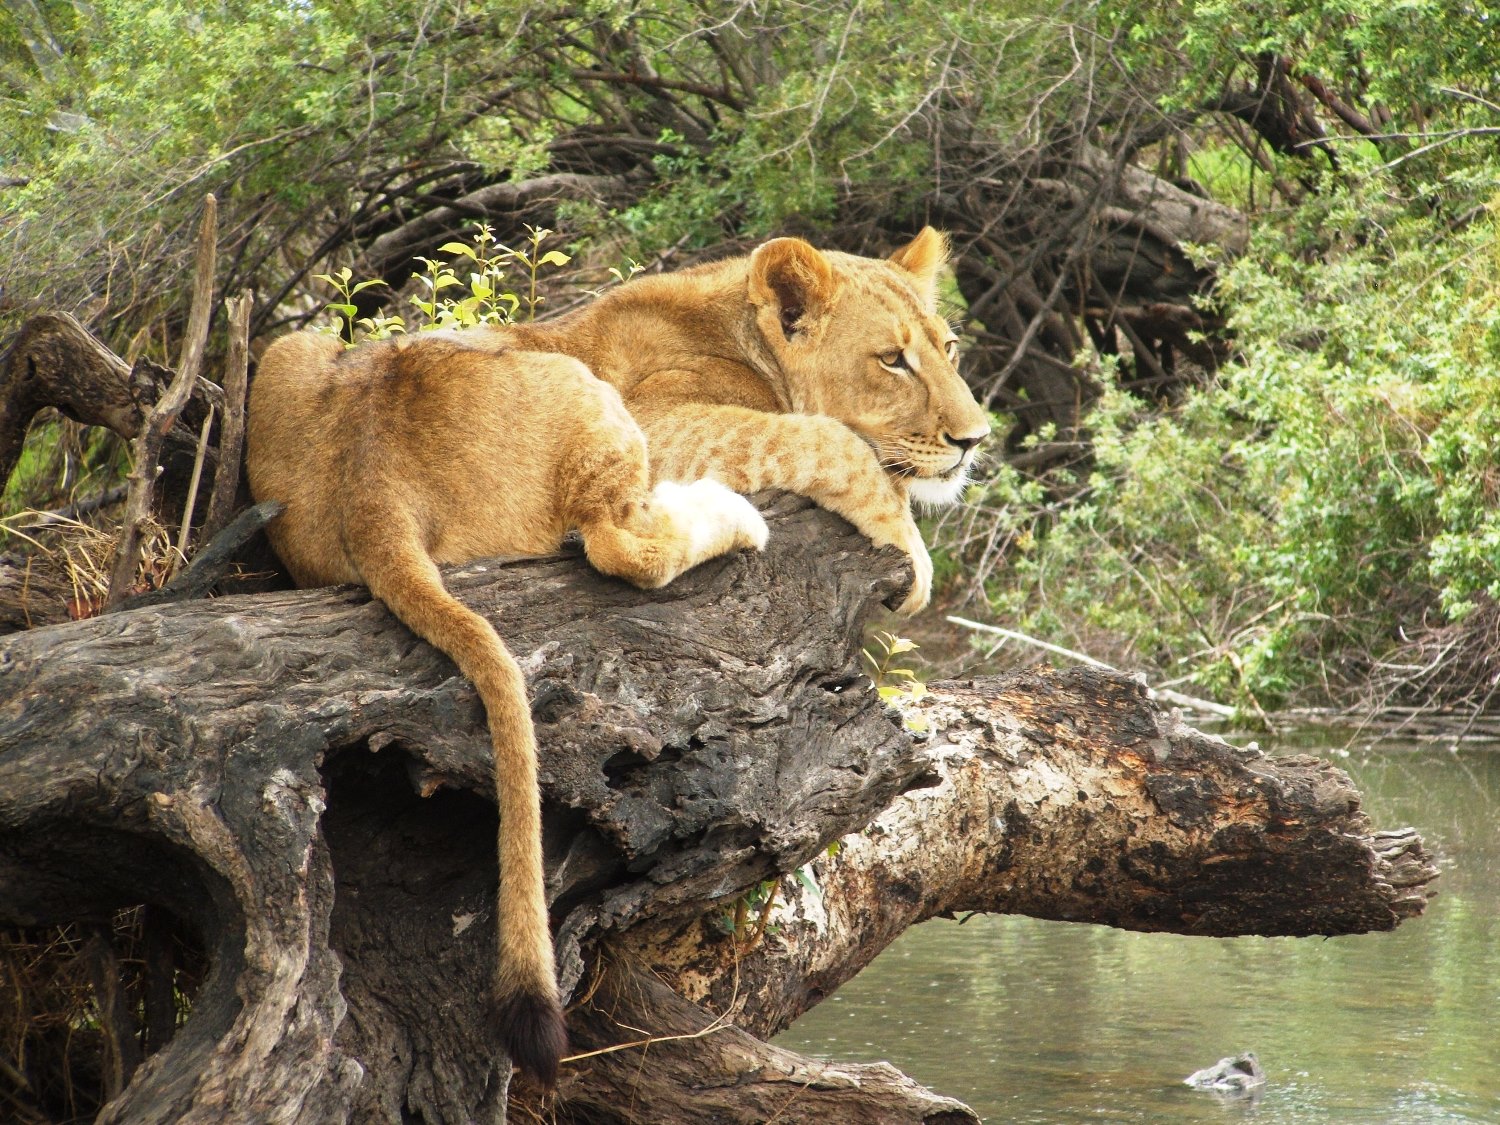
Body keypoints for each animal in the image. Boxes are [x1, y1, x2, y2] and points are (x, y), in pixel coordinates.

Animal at [244, 226, 984, 1086]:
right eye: (892, 360)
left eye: (949, 348)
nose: (975, 442)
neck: (741, 334)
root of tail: (371, 476)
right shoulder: (666, 421)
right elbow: (819, 438)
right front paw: (910, 548)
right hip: (585, 389)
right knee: (620, 545)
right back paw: (733, 517)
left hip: (293, 349)